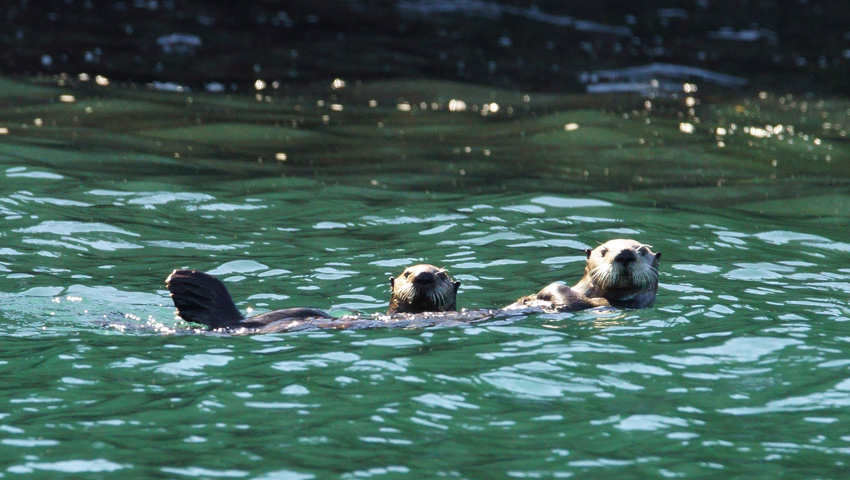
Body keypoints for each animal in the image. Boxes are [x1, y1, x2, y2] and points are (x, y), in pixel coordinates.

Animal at [506, 239, 660, 312]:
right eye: (603, 251)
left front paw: (543, 292)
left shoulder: (604, 304)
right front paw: (529, 297)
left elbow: (570, 299)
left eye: (643, 251)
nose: (625, 254)